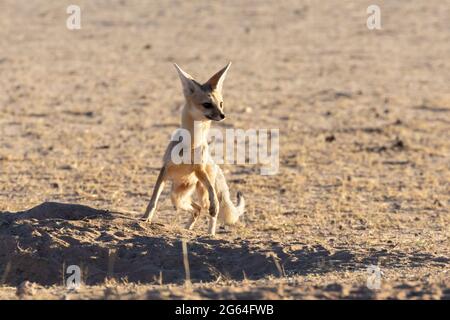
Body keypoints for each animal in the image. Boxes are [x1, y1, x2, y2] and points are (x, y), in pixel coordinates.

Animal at [142, 62, 244, 235]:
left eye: (221, 104)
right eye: (207, 104)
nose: (223, 115)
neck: (190, 144)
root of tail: (214, 164)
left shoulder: (199, 170)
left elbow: (213, 197)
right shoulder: (164, 170)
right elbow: (153, 199)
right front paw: (146, 218)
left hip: (198, 193)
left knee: (208, 209)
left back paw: (210, 233)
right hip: (176, 196)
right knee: (197, 209)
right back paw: (188, 229)